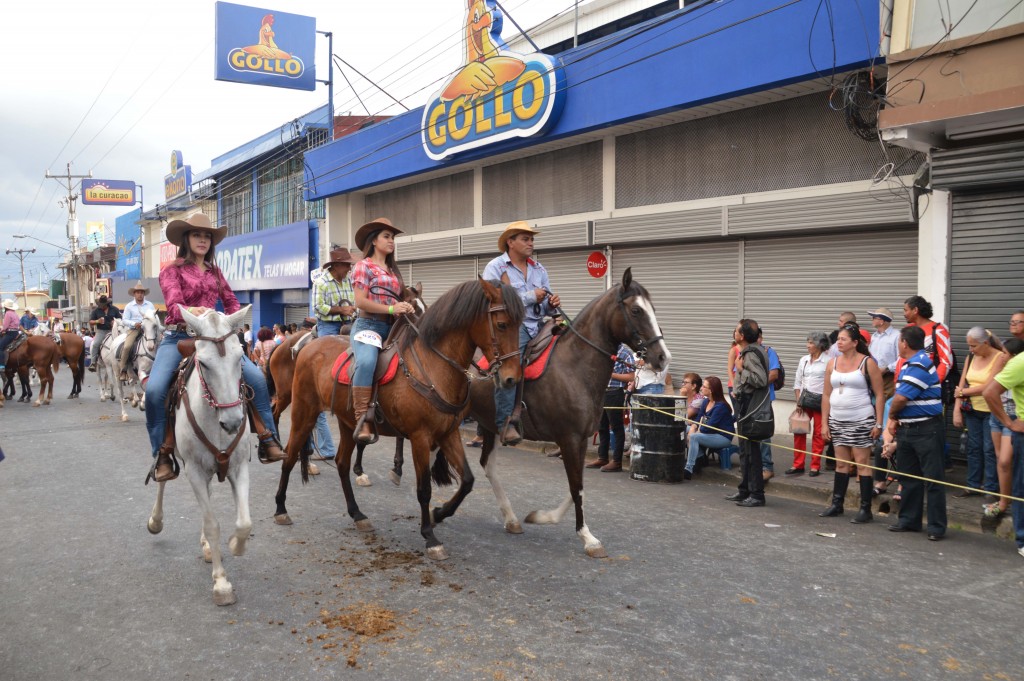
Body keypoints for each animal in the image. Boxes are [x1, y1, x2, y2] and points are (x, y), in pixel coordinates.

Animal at [147, 305, 252, 602]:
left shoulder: (239, 467)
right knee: (162, 480)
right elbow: (212, 524)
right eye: (204, 364)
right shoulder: (193, 470)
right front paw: (222, 584)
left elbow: (244, 522)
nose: (233, 422)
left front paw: (235, 544)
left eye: (240, 357)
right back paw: (155, 520)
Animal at [276, 278, 524, 561]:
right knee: (290, 455)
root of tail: (307, 347)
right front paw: (430, 537)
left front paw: (439, 514)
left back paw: (357, 514)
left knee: (341, 463)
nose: (512, 378)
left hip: (347, 422)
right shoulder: (420, 437)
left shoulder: (448, 433)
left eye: (520, 323)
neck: (432, 366)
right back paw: (281, 508)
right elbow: (424, 488)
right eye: (502, 324)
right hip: (303, 411)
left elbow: (468, 481)